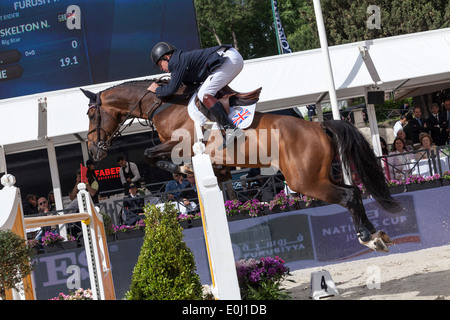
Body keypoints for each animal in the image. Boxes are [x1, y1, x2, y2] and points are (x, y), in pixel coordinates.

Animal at [81, 79, 400, 251]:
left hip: (305, 181)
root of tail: (319, 126)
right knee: (354, 192)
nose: (93, 151)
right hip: (319, 175)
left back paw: (368, 239)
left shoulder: (179, 143)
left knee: (347, 196)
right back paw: (376, 234)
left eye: (91, 115)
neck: (164, 104)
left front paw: (182, 170)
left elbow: (150, 155)